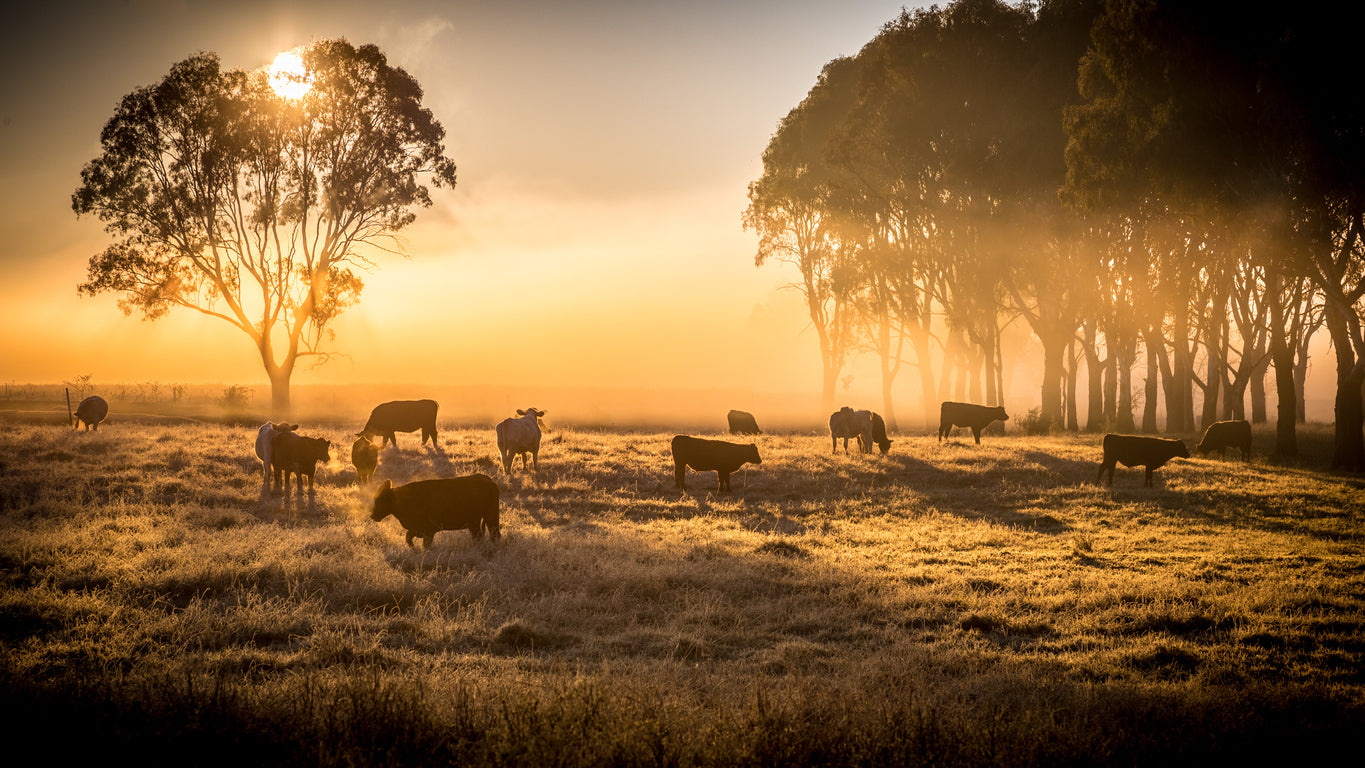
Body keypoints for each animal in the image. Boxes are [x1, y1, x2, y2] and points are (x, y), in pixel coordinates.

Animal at [370, 475, 501, 549]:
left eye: (381, 500)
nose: (372, 515)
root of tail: (489, 481)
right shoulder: (415, 529)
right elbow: (408, 539)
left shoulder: (429, 531)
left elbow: (425, 545)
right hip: (474, 523)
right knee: (478, 537)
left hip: (491, 517)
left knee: (495, 535)